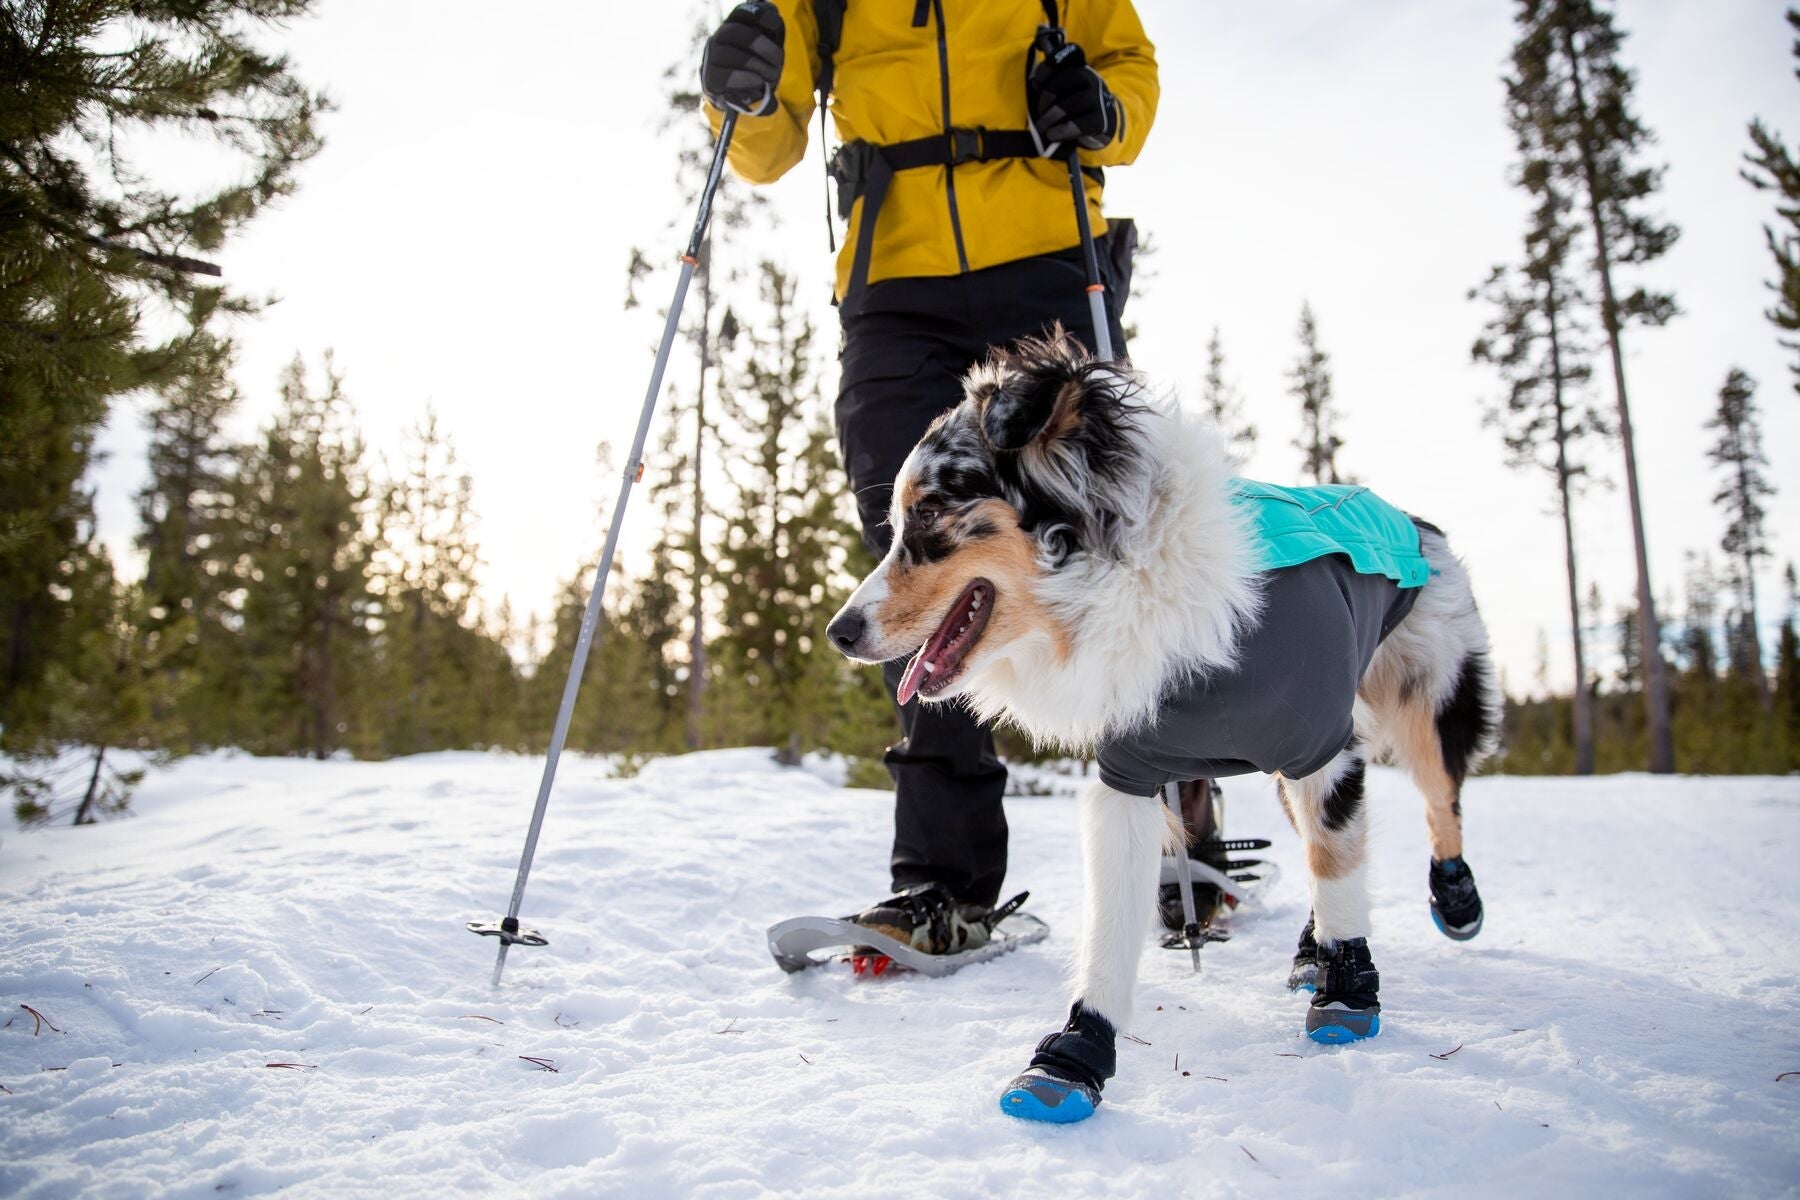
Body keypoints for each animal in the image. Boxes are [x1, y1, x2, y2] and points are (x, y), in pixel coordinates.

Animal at [824, 325, 1497, 1129]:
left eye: (927, 514)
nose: (838, 632)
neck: (1139, 584)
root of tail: (1402, 515)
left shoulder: (1323, 750)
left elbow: (1338, 868)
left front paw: (1349, 990)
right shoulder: (1133, 777)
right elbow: (1112, 926)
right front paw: (1074, 1056)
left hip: (1423, 698)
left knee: (1438, 800)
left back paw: (1449, 901)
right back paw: (1311, 951)